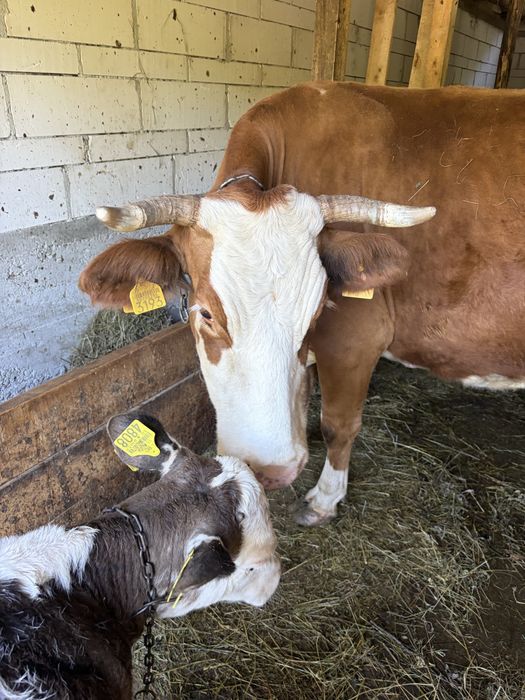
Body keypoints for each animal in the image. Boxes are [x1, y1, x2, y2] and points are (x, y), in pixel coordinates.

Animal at [80, 81, 525, 528]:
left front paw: (324, 500)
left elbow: (338, 425)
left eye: (318, 310)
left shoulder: (354, 341)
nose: (270, 471)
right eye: (205, 313)